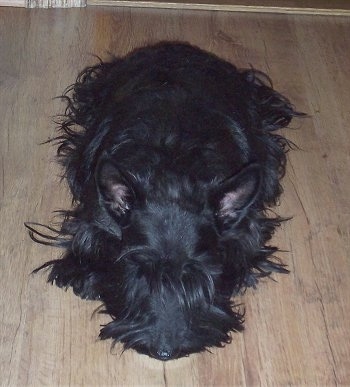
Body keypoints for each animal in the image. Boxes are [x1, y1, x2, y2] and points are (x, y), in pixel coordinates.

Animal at [26, 42, 302, 360]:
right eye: (139, 270)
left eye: (199, 276)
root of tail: (177, 46)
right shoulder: (96, 215)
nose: (164, 352)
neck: (174, 170)